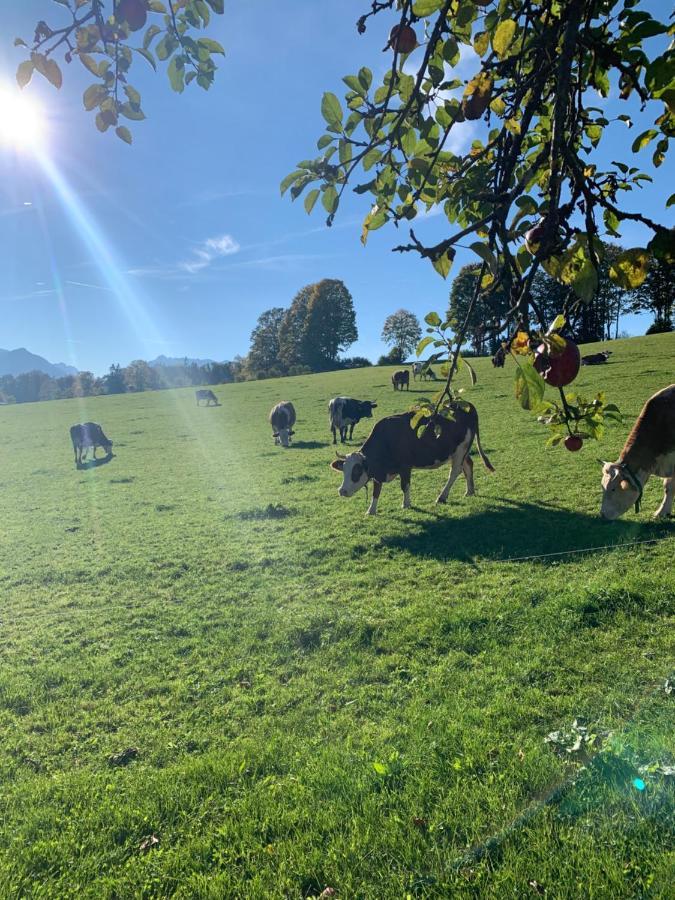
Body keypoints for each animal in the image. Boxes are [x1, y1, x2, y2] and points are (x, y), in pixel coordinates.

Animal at [330, 404, 494, 516]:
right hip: (461, 450)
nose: (342, 491)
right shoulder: (378, 473)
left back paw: (442, 496)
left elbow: (405, 486)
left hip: (460, 449)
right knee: (468, 465)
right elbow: (376, 491)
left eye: (357, 471)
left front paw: (406, 504)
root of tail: (467, 406)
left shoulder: (405, 467)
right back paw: (470, 491)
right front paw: (371, 510)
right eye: (344, 470)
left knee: (455, 471)